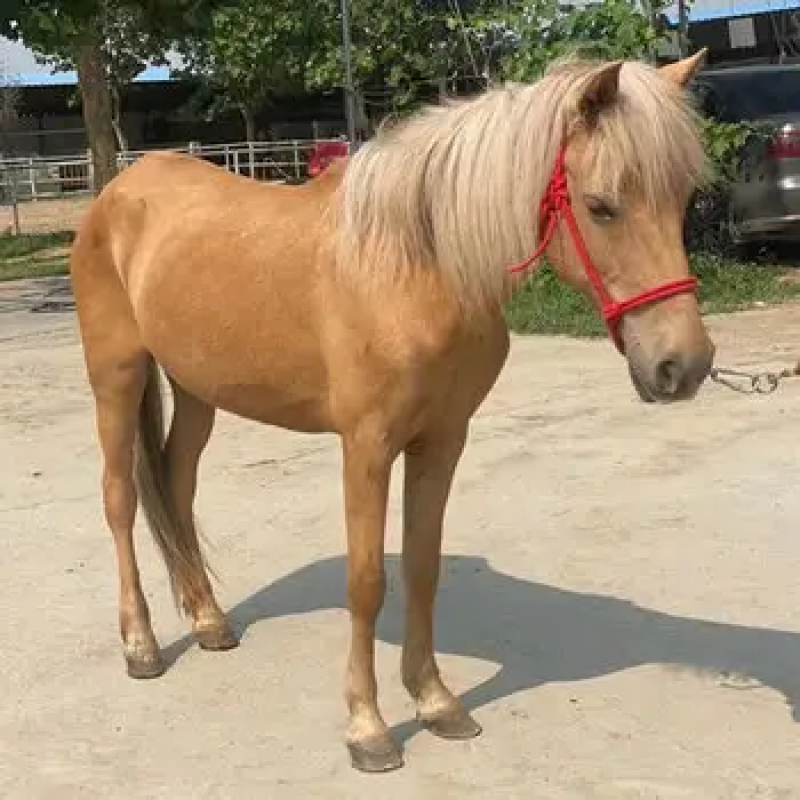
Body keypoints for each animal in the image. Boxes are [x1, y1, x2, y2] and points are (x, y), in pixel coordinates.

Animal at [69, 51, 714, 773]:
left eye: (685, 197)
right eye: (601, 207)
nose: (683, 366)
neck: (419, 266)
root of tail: (119, 192)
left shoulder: (442, 440)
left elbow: (422, 568)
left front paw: (436, 702)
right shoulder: (368, 446)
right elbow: (367, 579)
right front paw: (368, 727)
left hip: (197, 388)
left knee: (177, 487)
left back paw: (209, 621)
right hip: (117, 377)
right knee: (121, 498)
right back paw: (142, 645)